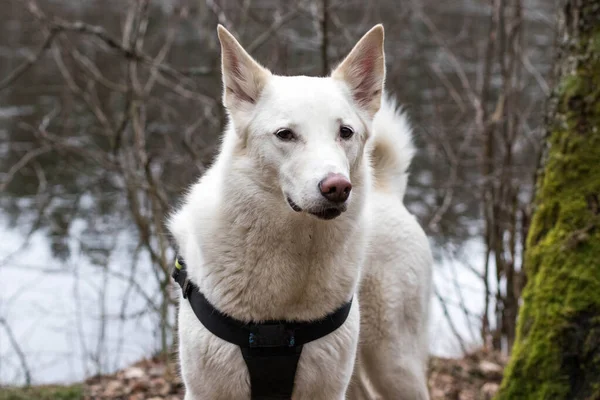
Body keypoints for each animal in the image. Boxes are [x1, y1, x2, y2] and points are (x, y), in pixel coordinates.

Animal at [168, 22, 432, 400]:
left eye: (345, 132)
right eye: (285, 134)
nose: (337, 187)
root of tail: (388, 190)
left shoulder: (324, 390)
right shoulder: (208, 391)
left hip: (394, 364)